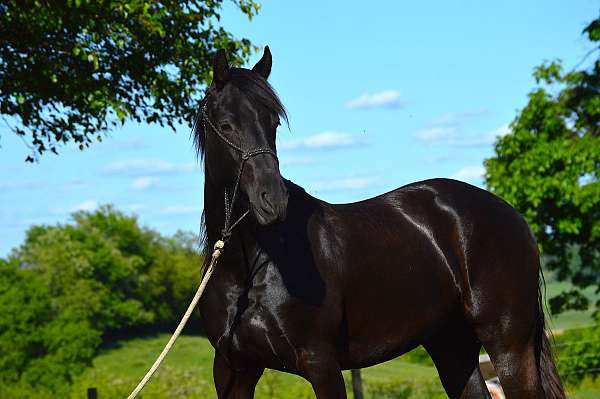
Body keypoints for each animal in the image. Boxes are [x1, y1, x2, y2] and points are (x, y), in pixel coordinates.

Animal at [193, 47, 568, 399]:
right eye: (226, 125)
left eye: (272, 124)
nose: (273, 201)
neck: (248, 268)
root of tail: (511, 214)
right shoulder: (233, 369)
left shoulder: (320, 364)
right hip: (452, 347)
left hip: (508, 345)